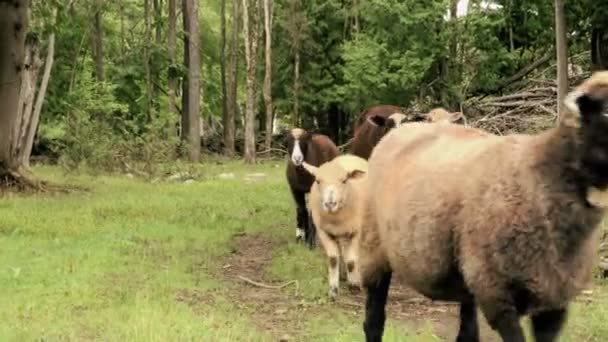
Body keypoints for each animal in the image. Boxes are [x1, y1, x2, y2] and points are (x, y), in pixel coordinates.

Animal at [302, 154, 368, 300]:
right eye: (318, 181)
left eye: (344, 180)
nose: (330, 204)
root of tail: (348, 155)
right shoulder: (323, 232)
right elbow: (333, 259)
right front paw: (333, 290)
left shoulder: (356, 232)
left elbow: (352, 261)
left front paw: (354, 285)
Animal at [358, 71, 608, 340]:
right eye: (605, 112)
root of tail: (401, 129)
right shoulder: (497, 293)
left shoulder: (554, 300)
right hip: (374, 249)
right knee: (374, 320)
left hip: (468, 274)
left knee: (467, 331)